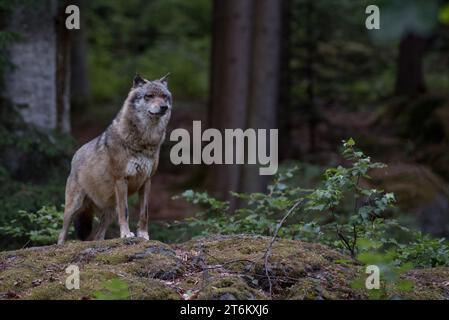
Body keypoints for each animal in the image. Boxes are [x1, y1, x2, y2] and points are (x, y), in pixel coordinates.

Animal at [57, 74, 172, 244]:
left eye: (164, 96)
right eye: (149, 96)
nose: (164, 107)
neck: (145, 141)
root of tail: (75, 154)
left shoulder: (147, 181)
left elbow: (144, 213)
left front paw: (143, 235)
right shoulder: (121, 179)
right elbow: (125, 212)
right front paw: (126, 234)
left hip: (109, 211)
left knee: (98, 236)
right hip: (74, 206)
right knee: (61, 234)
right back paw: (60, 245)